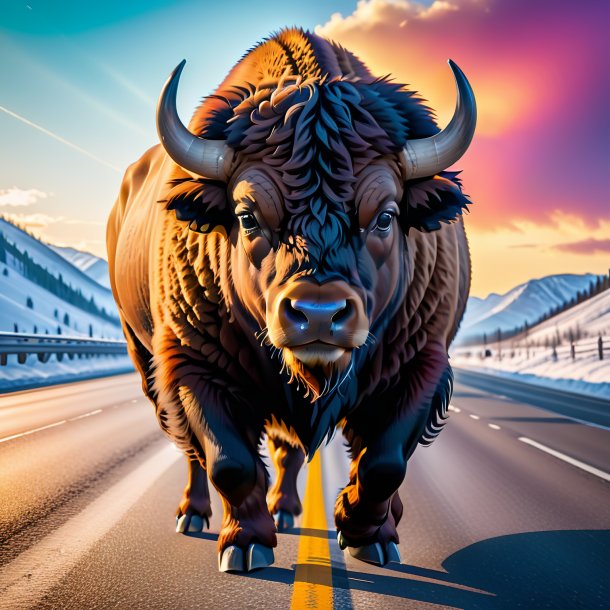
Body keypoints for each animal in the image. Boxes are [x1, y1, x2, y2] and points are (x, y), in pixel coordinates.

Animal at [105, 27, 476, 568]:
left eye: (386, 215)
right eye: (247, 215)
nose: (318, 315)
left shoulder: (419, 364)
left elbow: (384, 462)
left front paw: (366, 535)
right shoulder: (194, 365)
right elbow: (228, 460)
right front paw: (246, 545)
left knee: (293, 450)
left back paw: (299, 510)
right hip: (144, 356)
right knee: (192, 449)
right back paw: (193, 514)